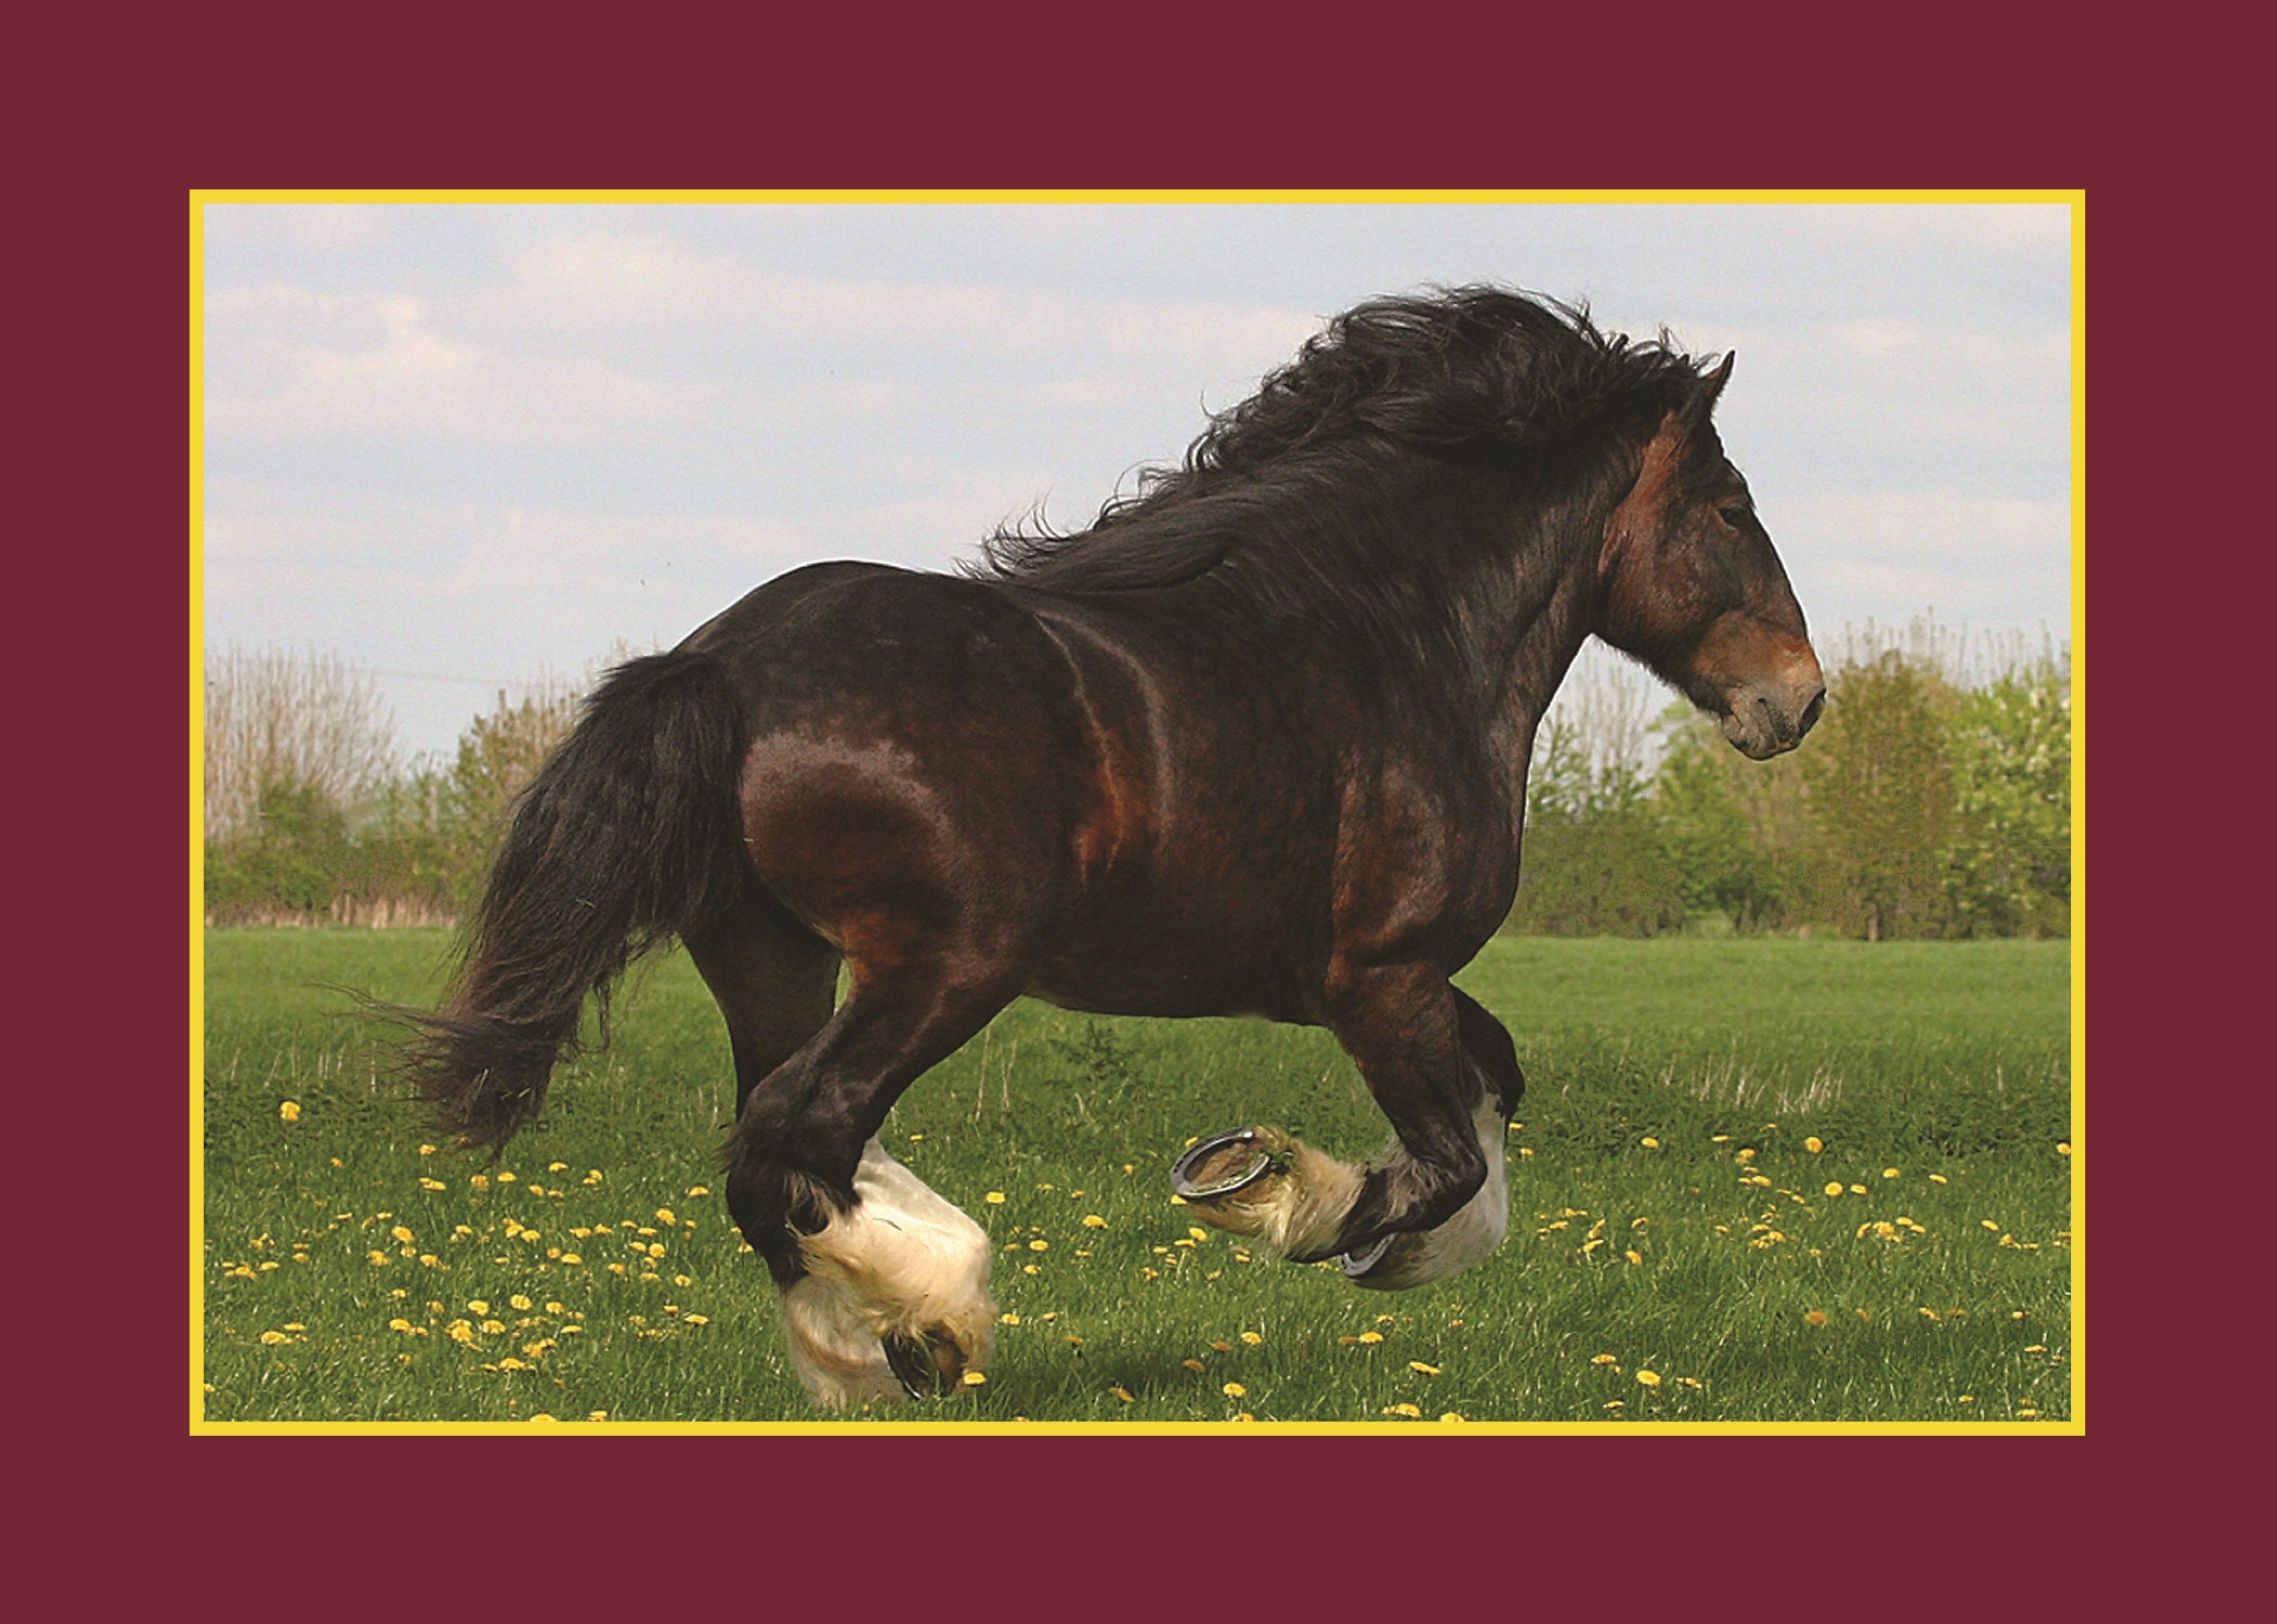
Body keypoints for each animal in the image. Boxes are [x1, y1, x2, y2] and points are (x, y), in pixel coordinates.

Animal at [391, 286, 1825, 1408]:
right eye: (1728, 506)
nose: (1797, 700)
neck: (1392, 638)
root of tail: (720, 664)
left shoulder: (1364, 983)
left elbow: (1491, 1093)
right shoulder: (1382, 976)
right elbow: (1440, 1160)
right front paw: (1293, 1205)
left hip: (775, 958)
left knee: (779, 1146)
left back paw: (875, 1337)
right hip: (941, 969)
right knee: (797, 1135)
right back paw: (922, 1322)